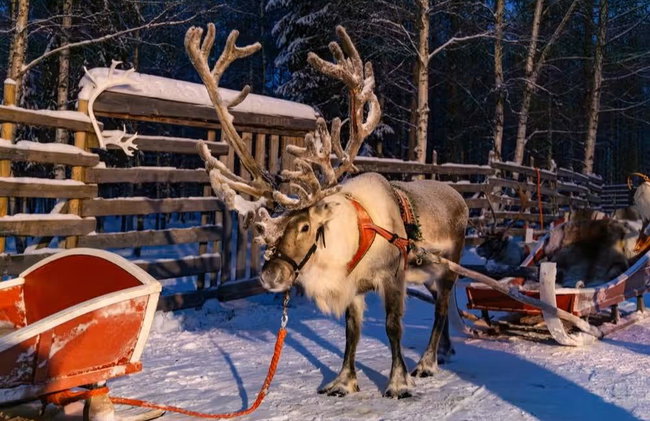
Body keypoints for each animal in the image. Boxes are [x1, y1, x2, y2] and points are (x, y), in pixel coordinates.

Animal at [185, 24, 468, 398]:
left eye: (306, 226)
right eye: (269, 232)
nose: (270, 276)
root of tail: (460, 197)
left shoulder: (393, 277)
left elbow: (392, 327)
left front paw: (397, 383)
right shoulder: (352, 287)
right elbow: (351, 332)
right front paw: (343, 382)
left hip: (449, 265)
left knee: (441, 309)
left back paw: (426, 362)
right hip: (430, 272)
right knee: (442, 306)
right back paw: (446, 351)